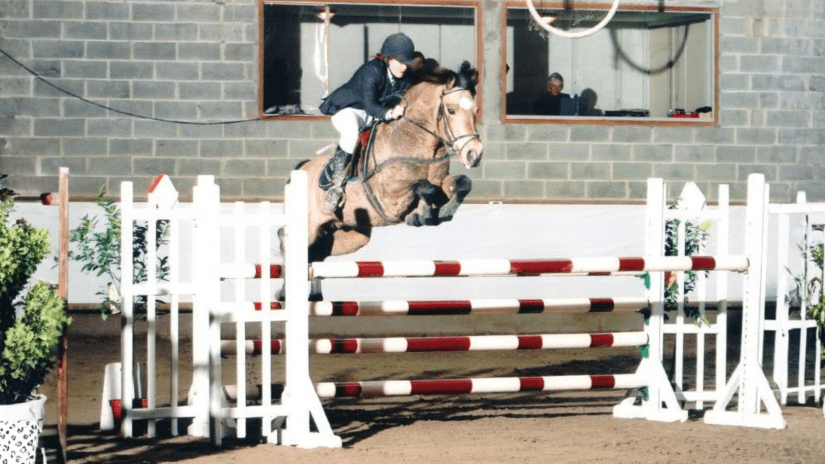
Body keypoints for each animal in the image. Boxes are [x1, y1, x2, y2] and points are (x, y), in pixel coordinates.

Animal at [298, 61, 483, 263]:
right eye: (451, 110)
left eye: (475, 111)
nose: (474, 154)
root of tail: (302, 167)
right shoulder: (389, 198)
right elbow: (424, 186)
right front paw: (424, 214)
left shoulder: (442, 181)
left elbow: (462, 183)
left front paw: (440, 213)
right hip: (309, 229)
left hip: (350, 235)